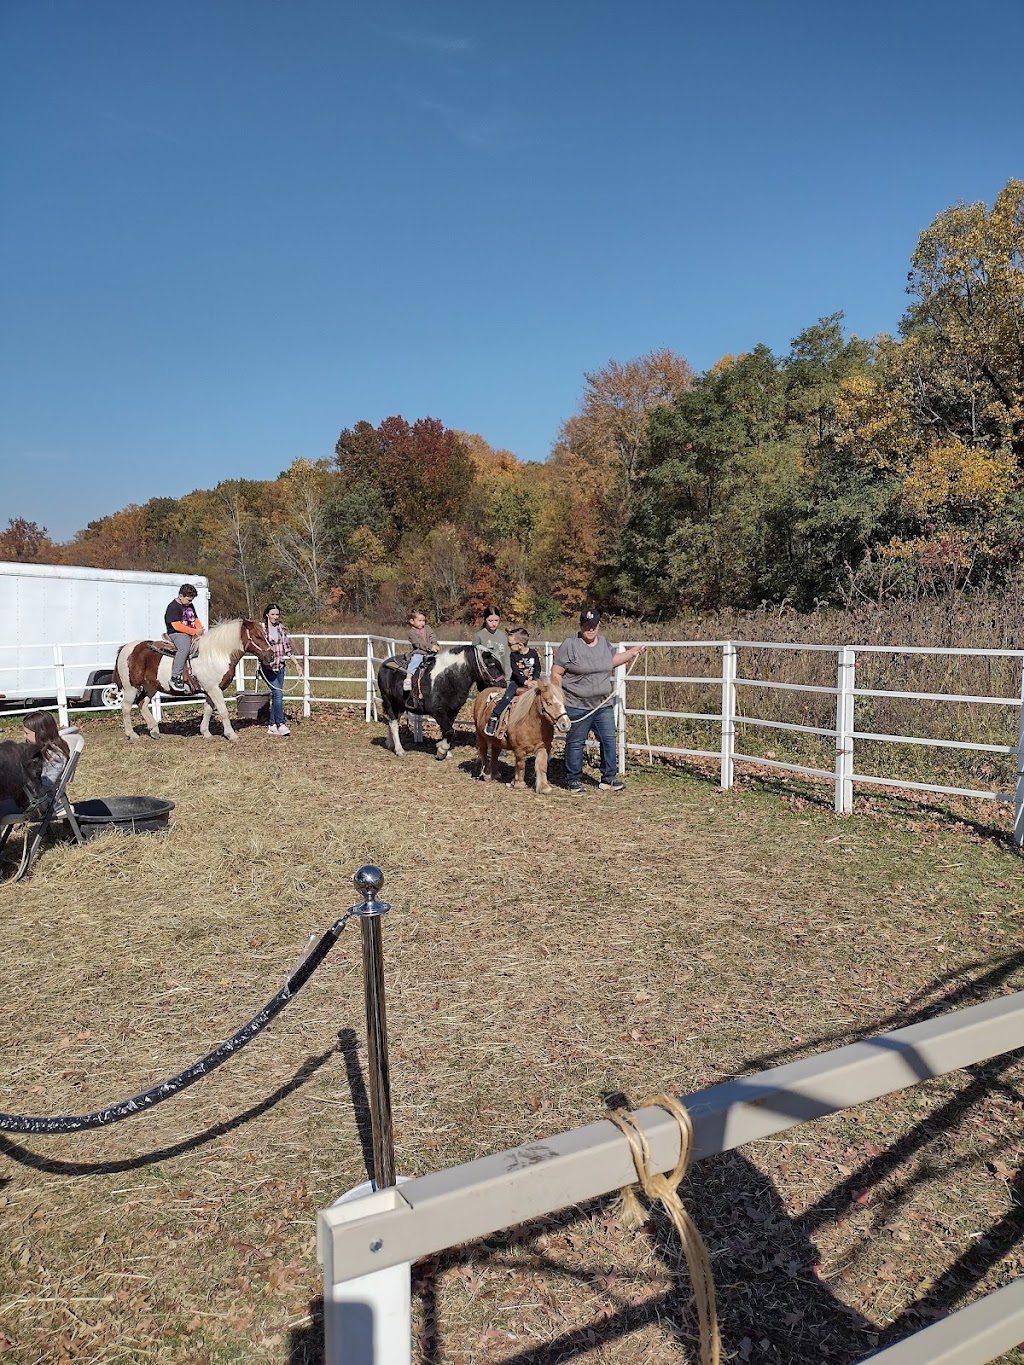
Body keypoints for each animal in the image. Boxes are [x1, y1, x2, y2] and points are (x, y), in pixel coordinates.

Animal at [113, 622, 273, 748]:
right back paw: (132, 734)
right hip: (131, 687)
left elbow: (208, 710)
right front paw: (231, 735)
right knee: (126, 707)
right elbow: (223, 711)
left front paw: (206, 733)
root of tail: (126, 648)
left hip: (150, 686)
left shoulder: (210, 690)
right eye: (258, 636)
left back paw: (154, 731)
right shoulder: (214, 689)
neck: (217, 654)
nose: (271, 655)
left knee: (142, 703)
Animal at [376, 644, 505, 764]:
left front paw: (444, 751)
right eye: (491, 664)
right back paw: (399, 749)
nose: (503, 685)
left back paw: (390, 744)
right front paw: (442, 751)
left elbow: (447, 730)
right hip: (389, 701)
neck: (448, 678)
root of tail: (384, 663)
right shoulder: (437, 711)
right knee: (393, 723)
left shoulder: (453, 711)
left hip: (399, 705)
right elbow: (449, 731)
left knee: (393, 721)